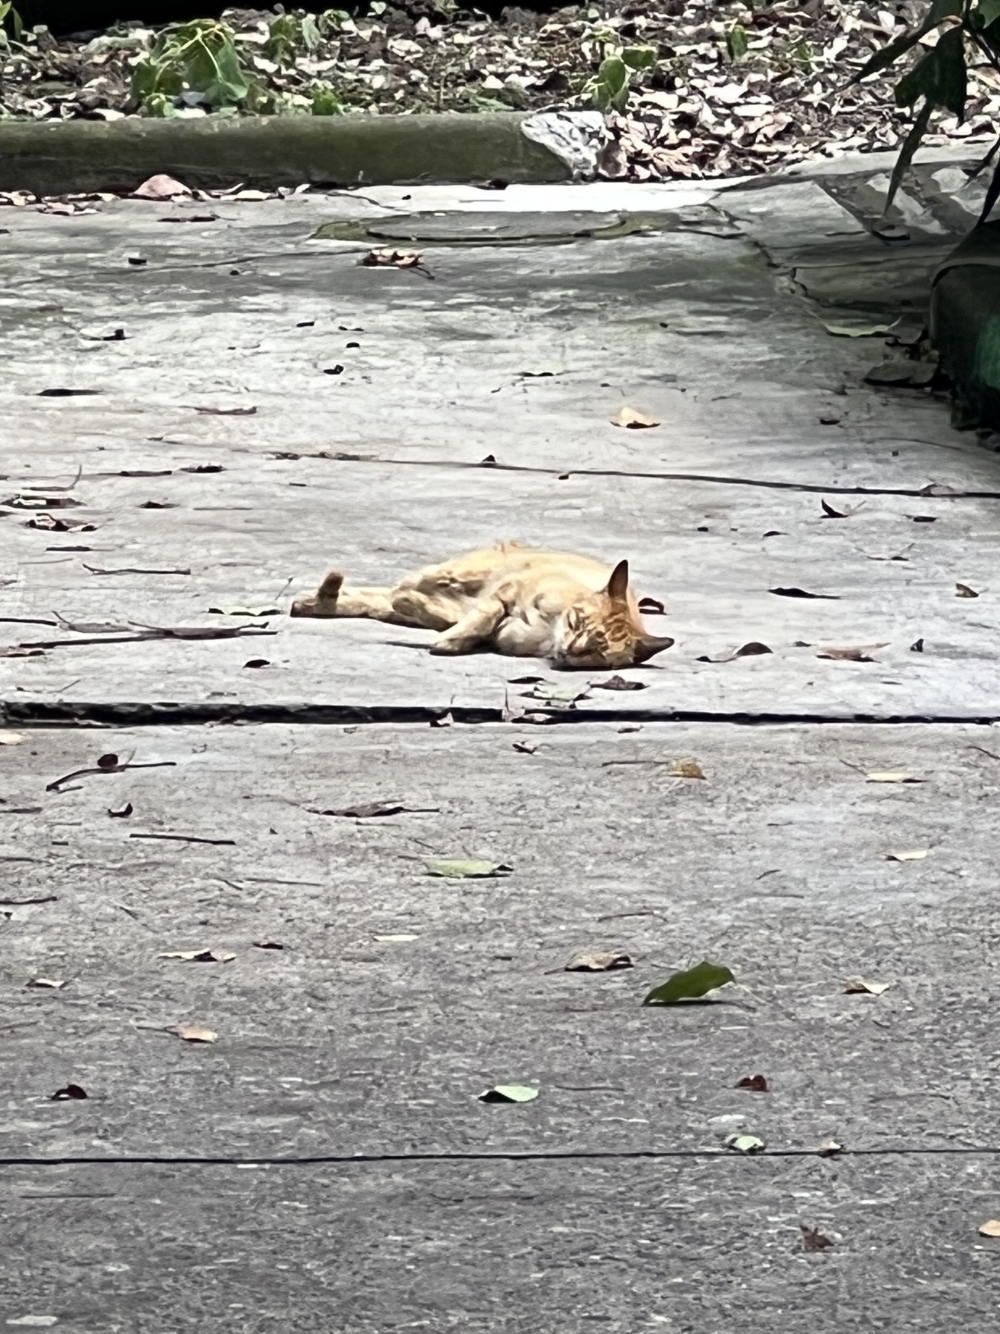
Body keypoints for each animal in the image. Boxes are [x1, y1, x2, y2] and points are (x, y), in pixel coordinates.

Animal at [290, 542, 674, 670]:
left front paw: (453, 641)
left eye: (595, 653)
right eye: (577, 622)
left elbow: (475, 626)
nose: (571, 651)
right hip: (457, 574)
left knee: (382, 603)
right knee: (406, 590)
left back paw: (320, 601)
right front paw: (449, 642)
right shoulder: (505, 592)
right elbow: (486, 614)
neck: (548, 633)